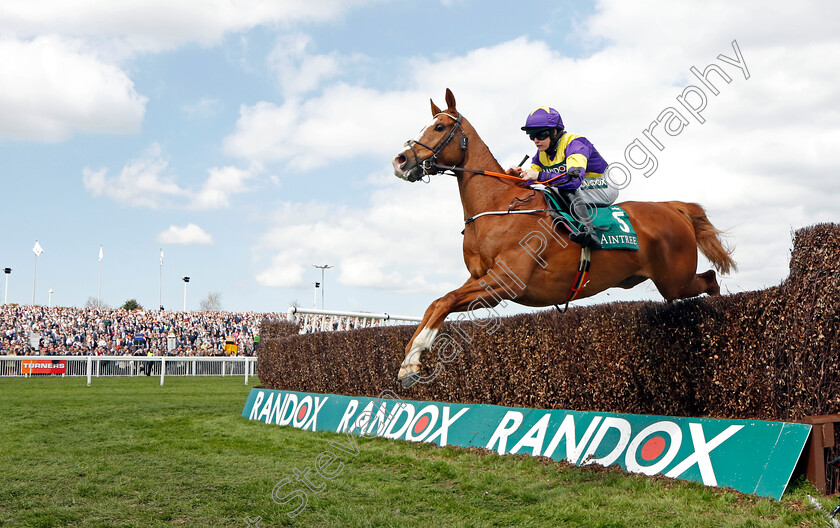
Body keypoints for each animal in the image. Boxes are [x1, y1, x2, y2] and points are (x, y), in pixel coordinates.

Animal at [390, 89, 732, 388]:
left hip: (676, 278)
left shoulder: (505, 281)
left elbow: (444, 300)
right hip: (671, 282)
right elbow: (436, 303)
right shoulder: (482, 280)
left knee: (710, 280)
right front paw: (408, 361)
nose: (400, 161)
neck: (499, 204)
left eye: (439, 126)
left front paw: (414, 356)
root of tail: (673, 207)